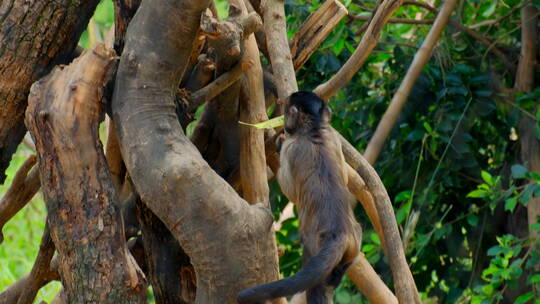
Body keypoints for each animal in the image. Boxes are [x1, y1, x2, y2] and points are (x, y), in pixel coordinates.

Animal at [237, 91, 360, 304]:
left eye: (287, 112)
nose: (285, 124)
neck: (313, 130)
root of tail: (339, 233)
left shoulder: (291, 146)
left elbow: (289, 188)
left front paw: (277, 143)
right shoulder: (332, 135)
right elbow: (344, 177)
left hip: (314, 245)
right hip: (354, 246)